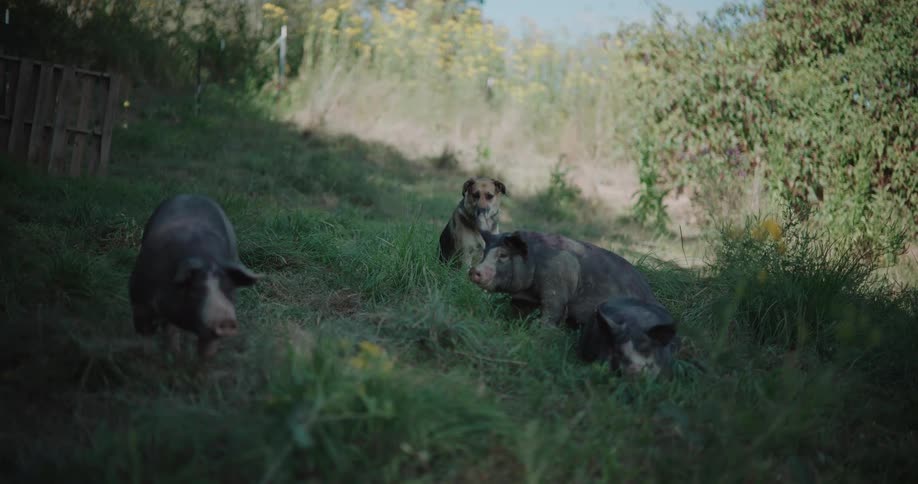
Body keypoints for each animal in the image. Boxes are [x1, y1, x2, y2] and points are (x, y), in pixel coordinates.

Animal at [129, 194, 262, 359]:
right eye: (196, 290)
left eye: (229, 290)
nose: (226, 320)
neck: (206, 260)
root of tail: (191, 194)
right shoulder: (139, 301)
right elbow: (146, 338)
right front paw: (150, 358)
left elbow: (206, 349)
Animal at [468, 230, 661, 330]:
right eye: (484, 253)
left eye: (503, 255)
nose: (474, 270)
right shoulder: (523, 297)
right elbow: (517, 308)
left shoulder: (556, 284)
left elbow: (553, 309)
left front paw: (539, 328)